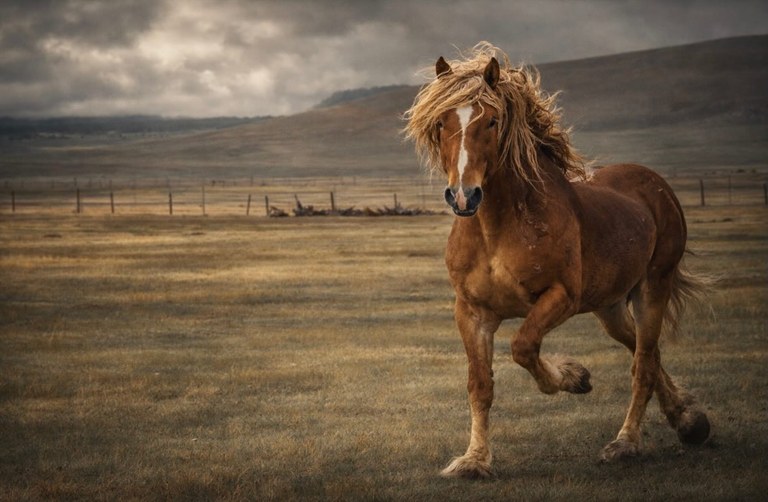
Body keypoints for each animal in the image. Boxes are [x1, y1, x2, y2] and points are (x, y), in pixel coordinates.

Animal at [403, 43, 710, 479]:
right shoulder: (472, 312)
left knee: (644, 366)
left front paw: (573, 377)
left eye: (492, 121)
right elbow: (480, 385)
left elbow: (523, 347)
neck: (498, 227)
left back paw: (626, 443)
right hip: (610, 307)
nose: (464, 196)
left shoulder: (560, 297)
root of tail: (657, 185)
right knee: (644, 351)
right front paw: (474, 460)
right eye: (442, 122)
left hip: (653, 289)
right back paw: (689, 421)